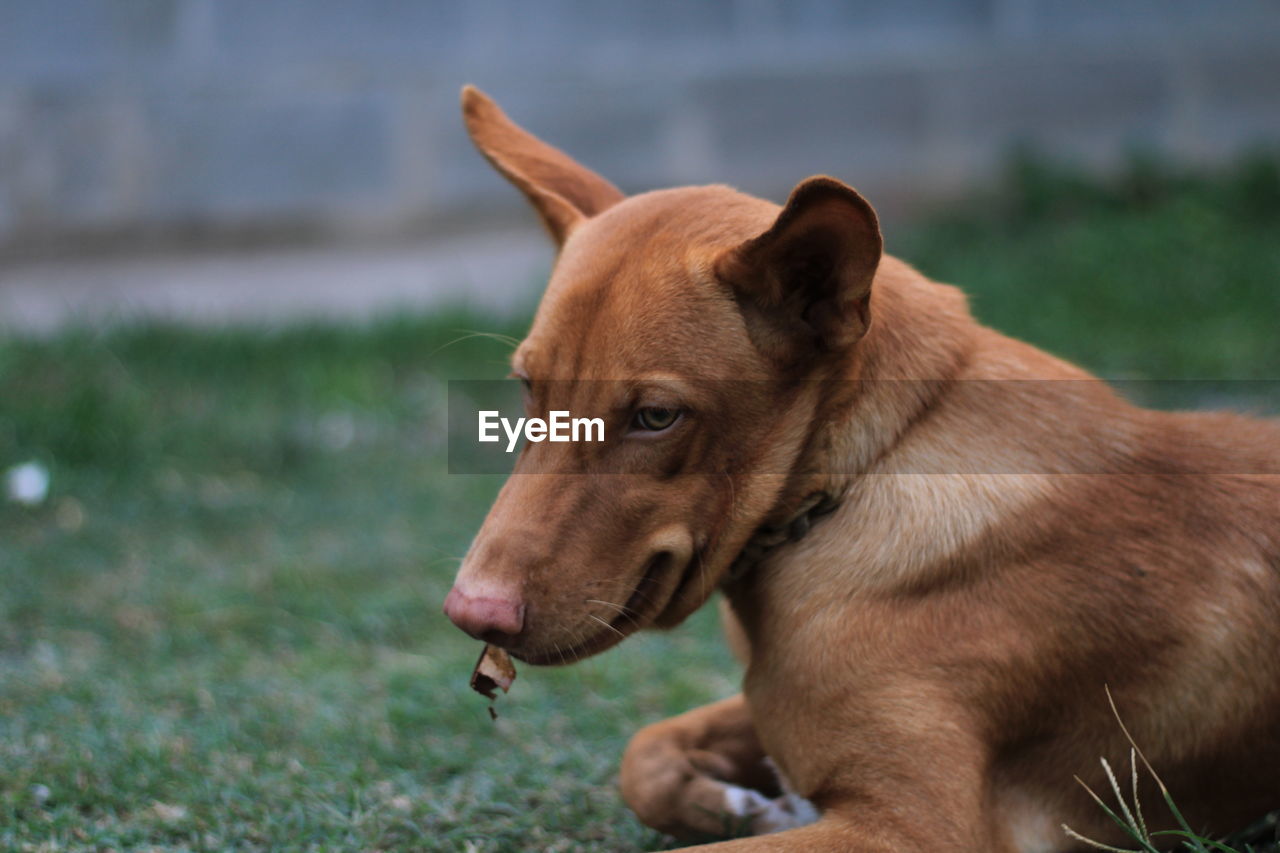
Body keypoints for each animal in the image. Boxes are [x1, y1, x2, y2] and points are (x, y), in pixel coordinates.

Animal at [442, 87, 1280, 850]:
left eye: (655, 416)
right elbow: (642, 753)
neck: (859, 477)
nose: (471, 615)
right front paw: (736, 801)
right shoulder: (771, 706)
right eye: (527, 388)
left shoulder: (913, 828)